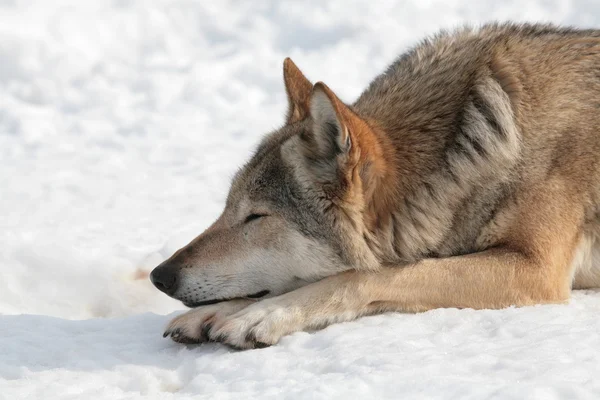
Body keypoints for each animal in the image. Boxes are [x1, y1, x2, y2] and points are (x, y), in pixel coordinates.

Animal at [151, 24, 600, 350]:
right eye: (227, 208)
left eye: (256, 216)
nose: (160, 276)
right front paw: (216, 313)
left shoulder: (534, 267)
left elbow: (365, 276)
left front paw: (261, 315)